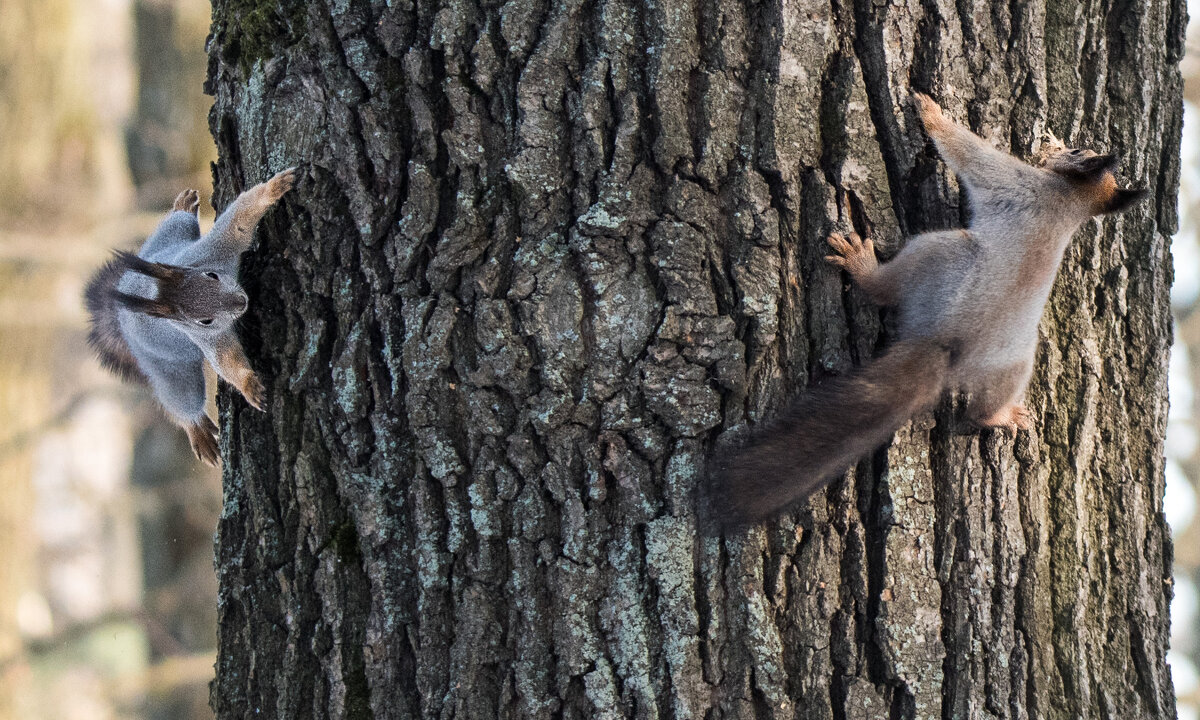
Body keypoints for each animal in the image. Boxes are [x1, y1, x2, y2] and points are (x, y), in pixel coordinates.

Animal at [85, 165, 297, 463]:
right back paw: (196, 431)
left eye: (211, 275)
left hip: (171, 235)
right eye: (204, 321)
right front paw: (249, 386)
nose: (241, 302)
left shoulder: (213, 248)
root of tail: (121, 315)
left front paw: (273, 189)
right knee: (182, 404)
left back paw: (182, 205)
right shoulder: (207, 337)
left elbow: (239, 220)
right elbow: (227, 360)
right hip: (170, 371)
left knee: (178, 220)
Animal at [700, 93, 1142, 525]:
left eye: (1079, 151)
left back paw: (862, 265)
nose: (1055, 146)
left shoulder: (1012, 180)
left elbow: (964, 149)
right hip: (1013, 365)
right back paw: (1001, 416)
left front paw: (929, 112)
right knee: (985, 407)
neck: (1073, 201)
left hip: (936, 253)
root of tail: (948, 343)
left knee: (885, 290)